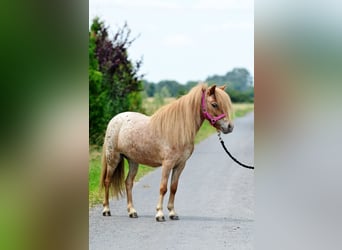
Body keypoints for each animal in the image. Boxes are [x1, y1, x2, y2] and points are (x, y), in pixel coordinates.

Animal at [99, 83, 232, 221]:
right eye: (214, 104)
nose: (229, 127)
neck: (178, 130)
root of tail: (115, 119)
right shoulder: (167, 164)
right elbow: (163, 188)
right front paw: (159, 214)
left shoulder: (180, 165)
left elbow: (173, 188)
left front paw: (172, 213)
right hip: (113, 159)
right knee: (107, 181)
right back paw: (106, 210)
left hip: (133, 161)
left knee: (128, 183)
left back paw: (132, 211)